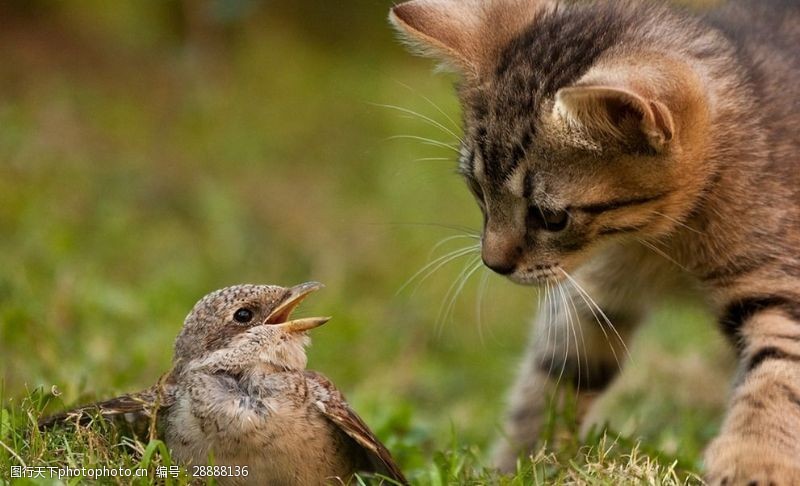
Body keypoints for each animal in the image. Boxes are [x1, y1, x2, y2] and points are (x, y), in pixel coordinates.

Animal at [390, 0, 800, 482]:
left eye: (551, 217)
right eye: (477, 189)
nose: (493, 262)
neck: (663, 243)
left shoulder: (778, 276)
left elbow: (779, 369)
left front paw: (757, 459)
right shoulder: (595, 293)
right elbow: (553, 376)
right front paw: (518, 464)